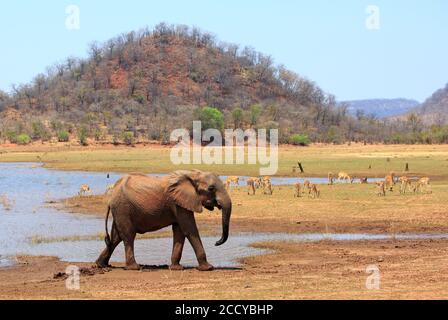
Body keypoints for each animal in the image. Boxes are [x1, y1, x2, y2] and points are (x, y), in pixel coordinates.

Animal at [96, 169, 233, 272]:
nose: (216, 243)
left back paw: (101, 265)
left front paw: (176, 268)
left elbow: (179, 231)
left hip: (120, 210)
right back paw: (134, 267)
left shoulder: (180, 203)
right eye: (211, 188)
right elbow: (189, 229)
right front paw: (208, 268)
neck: (193, 174)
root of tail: (111, 196)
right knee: (128, 235)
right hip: (123, 208)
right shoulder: (178, 203)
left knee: (116, 237)